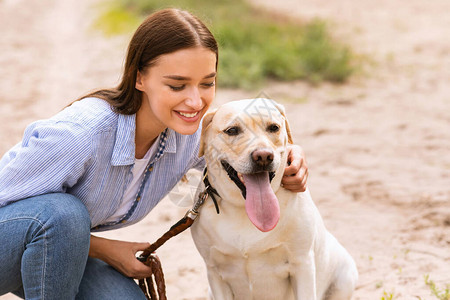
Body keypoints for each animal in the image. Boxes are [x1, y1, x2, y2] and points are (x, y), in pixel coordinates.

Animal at [191, 97, 358, 298]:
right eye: (232, 130)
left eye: (273, 127)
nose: (263, 156)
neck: (243, 210)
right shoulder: (214, 272)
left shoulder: (302, 264)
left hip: (345, 277)